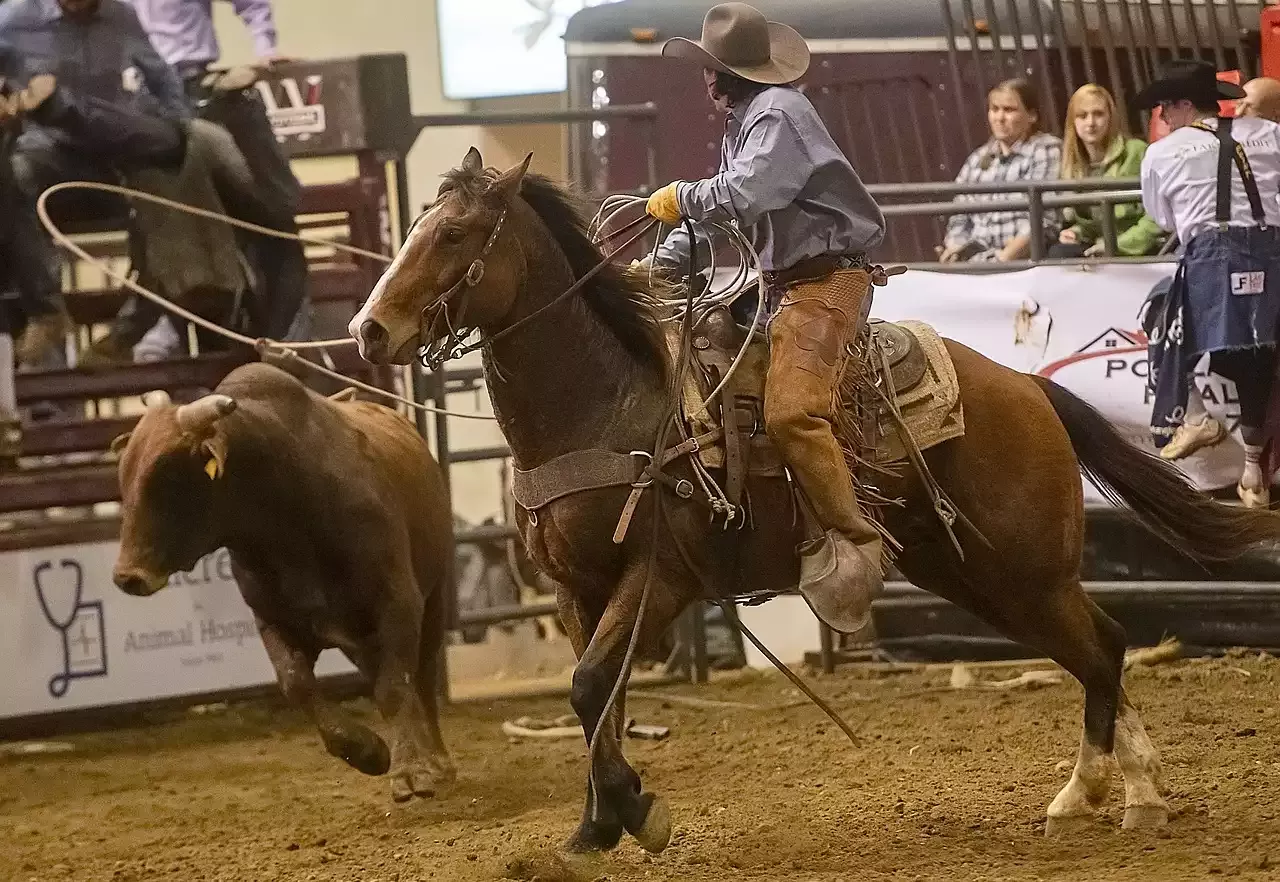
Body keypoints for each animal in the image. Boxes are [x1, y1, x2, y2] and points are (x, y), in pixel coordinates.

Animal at [108, 360, 455, 803]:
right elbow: (296, 683)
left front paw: (411, 771)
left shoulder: (398, 604)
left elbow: (395, 688)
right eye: (124, 475)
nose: (127, 576)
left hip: (434, 598)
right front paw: (367, 751)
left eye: (167, 476)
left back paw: (438, 760)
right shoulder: (272, 618)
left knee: (422, 680)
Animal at [350, 151, 1280, 855]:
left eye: (456, 234)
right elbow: (597, 701)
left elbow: (588, 690)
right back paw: (1116, 793)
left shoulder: (659, 579)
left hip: (1021, 572)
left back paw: (1111, 793)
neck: (608, 405)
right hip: (974, 575)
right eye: (416, 227)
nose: (368, 331)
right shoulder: (575, 591)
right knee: (1100, 647)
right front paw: (599, 823)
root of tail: (1027, 388)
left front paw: (635, 816)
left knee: (1101, 647)